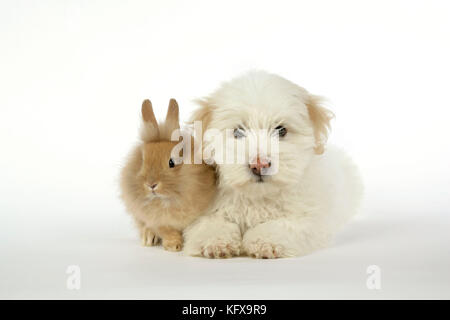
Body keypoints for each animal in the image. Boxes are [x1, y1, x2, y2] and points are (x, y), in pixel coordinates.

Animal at [120, 99, 217, 251]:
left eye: (172, 162)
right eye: (142, 161)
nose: (151, 185)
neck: (167, 201)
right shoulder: (157, 221)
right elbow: (166, 231)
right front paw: (174, 245)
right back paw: (148, 239)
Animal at [183, 70, 362, 260]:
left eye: (281, 130)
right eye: (238, 132)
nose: (259, 164)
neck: (258, 197)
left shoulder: (310, 217)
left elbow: (283, 225)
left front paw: (265, 241)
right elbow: (208, 223)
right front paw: (215, 242)